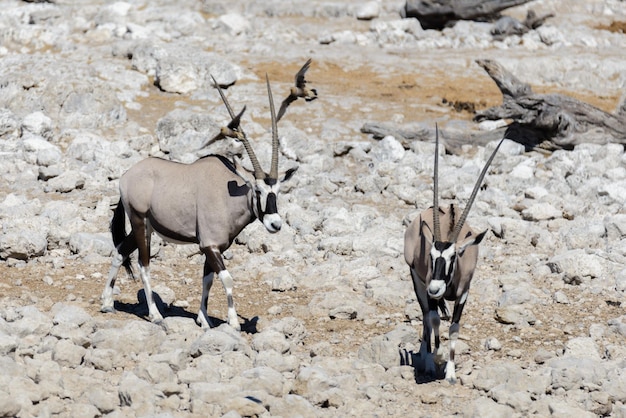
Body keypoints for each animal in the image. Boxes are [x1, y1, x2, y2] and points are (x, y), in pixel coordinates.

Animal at [100, 63, 312, 330]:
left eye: (279, 192)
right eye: (258, 190)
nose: (275, 224)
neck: (228, 194)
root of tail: (127, 175)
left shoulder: (216, 247)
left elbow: (208, 279)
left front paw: (203, 319)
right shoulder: (209, 245)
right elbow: (227, 278)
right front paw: (233, 322)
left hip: (147, 225)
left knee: (120, 251)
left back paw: (107, 302)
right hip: (139, 221)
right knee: (143, 264)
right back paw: (156, 315)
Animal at [404, 127, 502, 382]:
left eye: (453, 257)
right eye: (430, 256)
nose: (436, 288)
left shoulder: (463, 293)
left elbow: (455, 328)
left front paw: (450, 372)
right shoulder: (426, 284)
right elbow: (434, 319)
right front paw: (434, 359)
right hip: (418, 281)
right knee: (427, 316)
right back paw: (427, 356)